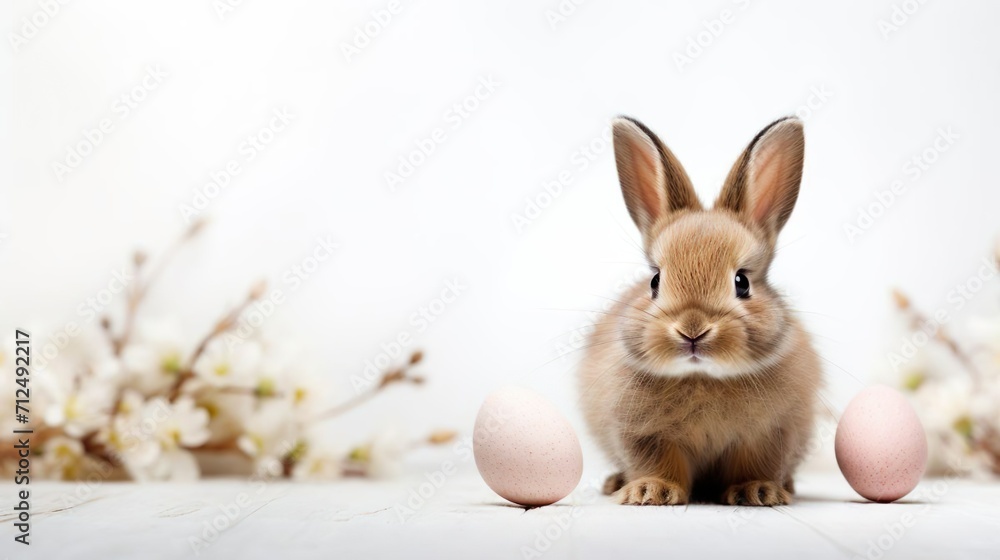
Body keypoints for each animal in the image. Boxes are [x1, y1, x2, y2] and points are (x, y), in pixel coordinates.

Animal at [578, 116, 822, 506]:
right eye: (655, 281)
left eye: (742, 282)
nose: (692, 329)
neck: (702, 377)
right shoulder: (641, 432)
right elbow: (656, 462)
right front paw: (651, 491)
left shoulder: (770, 433)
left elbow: (755, 464)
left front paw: (757, 491)